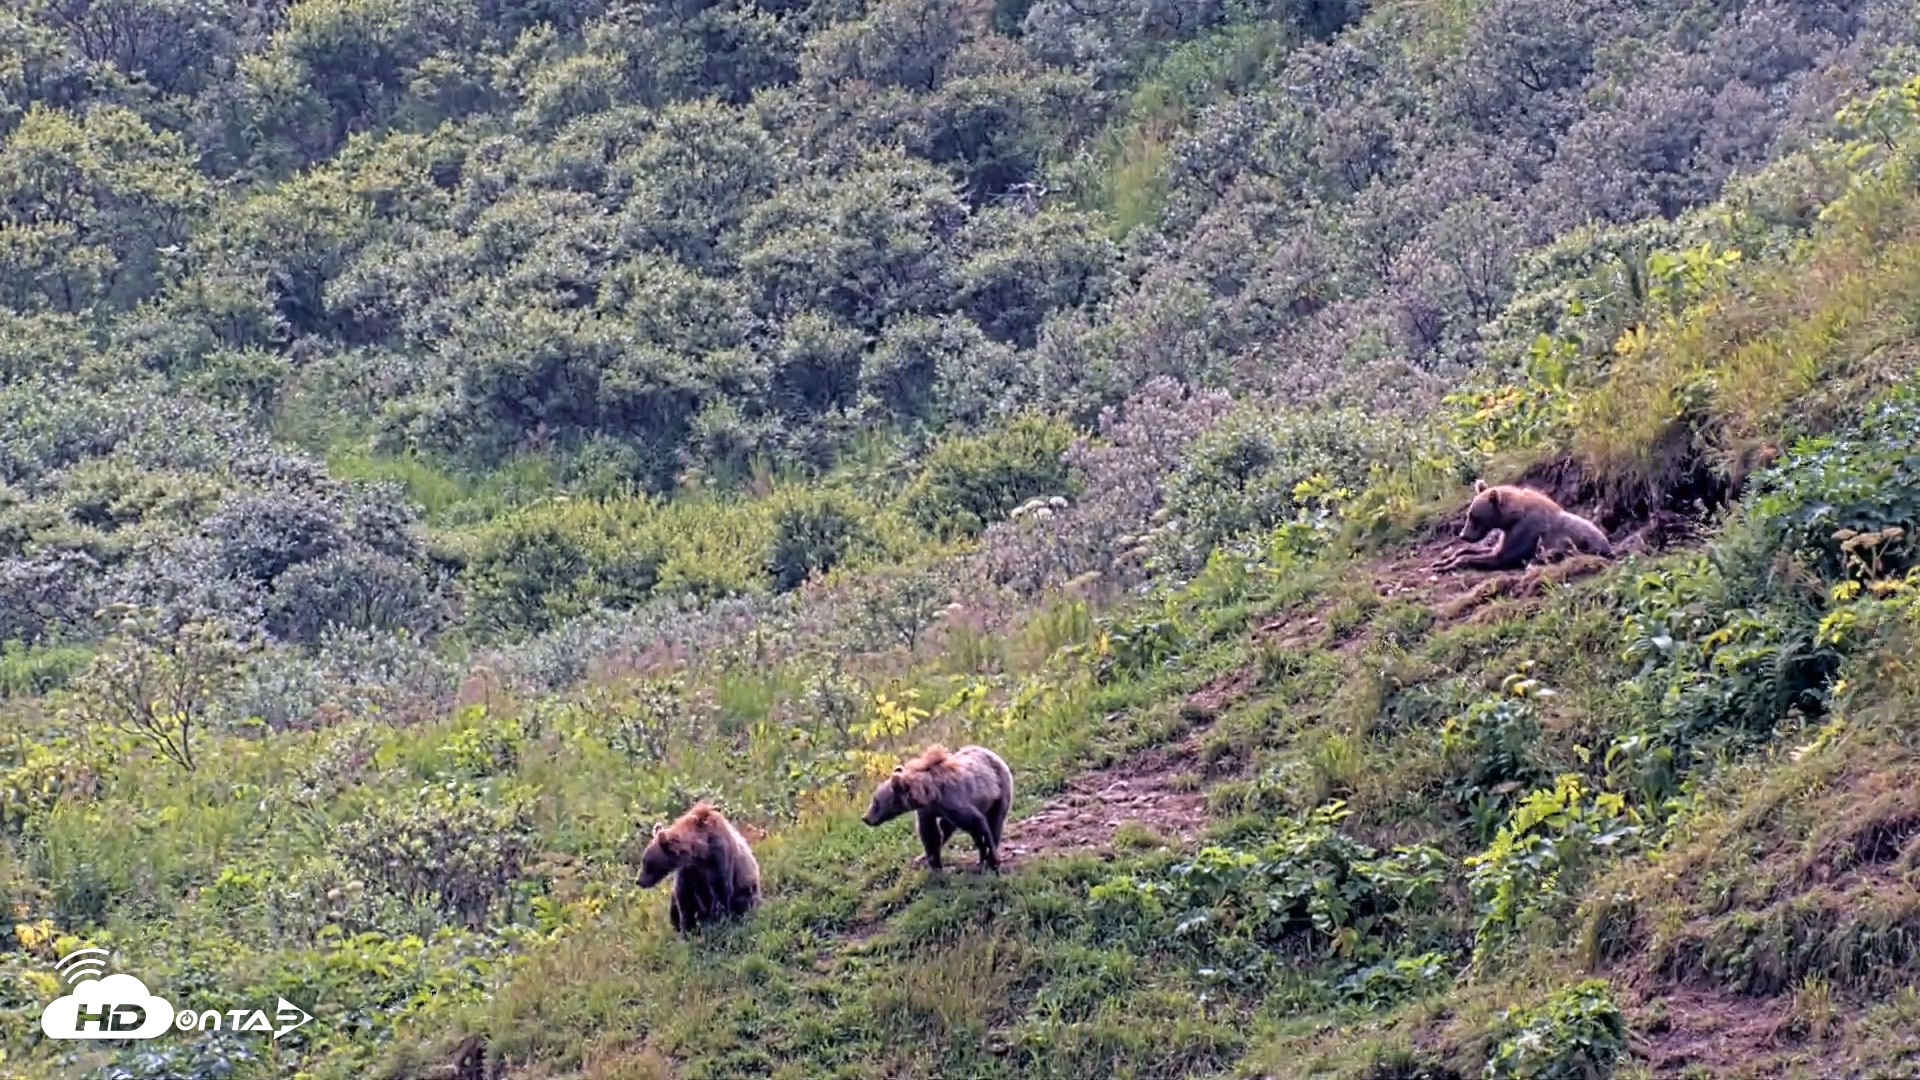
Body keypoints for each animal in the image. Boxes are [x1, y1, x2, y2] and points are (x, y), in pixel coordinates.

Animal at [636, 803, 762, 933]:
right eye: (644, 860)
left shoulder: (719, 860)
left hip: (747, 891)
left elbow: (721, 894)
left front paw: (717, 924)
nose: (639, 881)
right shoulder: (689, 872)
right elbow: (684, 900)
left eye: (647, 862)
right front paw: (687, 929)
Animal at [861, 744, 1014, 872]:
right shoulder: (927, 811)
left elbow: (977, 825)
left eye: (875, 801)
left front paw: (990, 860)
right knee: (945, 827)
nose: (865, 818)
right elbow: (929, 833)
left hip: (1000, 791)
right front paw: (934, 863)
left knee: (995, 821)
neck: (930, 795)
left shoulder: (954, 803)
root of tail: (989, 751)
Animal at [1432, 480, 1613, 573]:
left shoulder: (1525, 530)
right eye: (1468, 514)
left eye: (1475, 517)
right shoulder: (1507, 533)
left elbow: (1501, 557)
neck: (1511, 518)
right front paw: (1444, 560)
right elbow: (1480, 550)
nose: (1463, 535)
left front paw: (1447, 565)